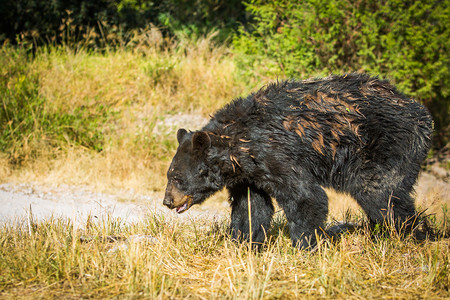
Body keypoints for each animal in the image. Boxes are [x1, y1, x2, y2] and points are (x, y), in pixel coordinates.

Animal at [162, 74, 432, 250]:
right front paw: (243, 242)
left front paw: (305, 244)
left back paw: (410, 235)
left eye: (176, 177)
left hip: (387, 146)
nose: (167, 201)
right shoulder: (250, 174)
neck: (238, 146)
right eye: (170, 175)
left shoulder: (275, 153)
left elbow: (305, 196)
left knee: (381, 193)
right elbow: (251, 206)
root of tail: (423, 114)